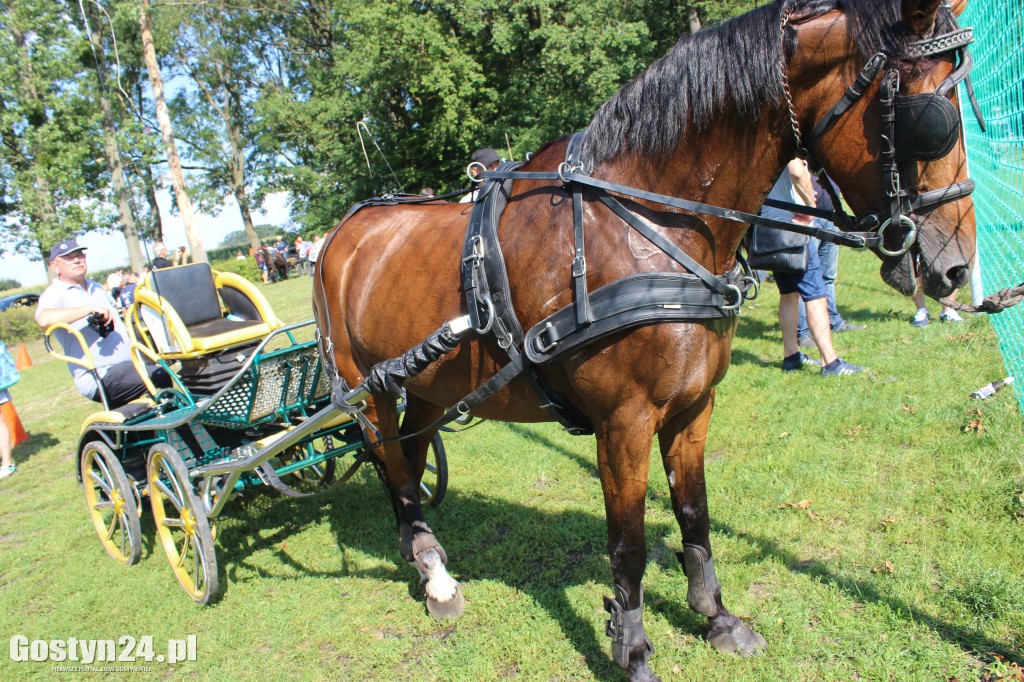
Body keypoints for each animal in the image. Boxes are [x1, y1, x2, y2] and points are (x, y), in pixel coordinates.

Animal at [309, 1, 974, 675]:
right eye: (931, 117)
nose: (955, 266)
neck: (646, 223)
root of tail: (341, 234)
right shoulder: (622, 421)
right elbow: (626, 543)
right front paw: (631, 650)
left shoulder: (693, 406)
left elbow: (694, 514)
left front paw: (717, 618)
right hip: (368, 392)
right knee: (395, 467)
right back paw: (433, 572)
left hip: (426, 387)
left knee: (410, 458)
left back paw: (429, 563)